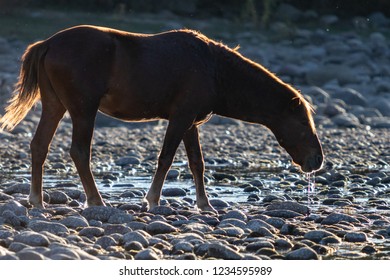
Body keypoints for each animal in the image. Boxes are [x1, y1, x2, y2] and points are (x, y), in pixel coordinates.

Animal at [0, 25, 322, 212]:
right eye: (302, 123)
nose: (317, 161)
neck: (214, 69)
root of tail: (48, 43)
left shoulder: (191, 122)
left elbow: (196, 163)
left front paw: (205, 205)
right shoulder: (180, 118)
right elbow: (166, 158)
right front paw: (153, 199)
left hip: (55, 106)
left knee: (39, 146)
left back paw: (37, 200)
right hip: (83, 110)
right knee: (79, 151)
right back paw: (95, 200)